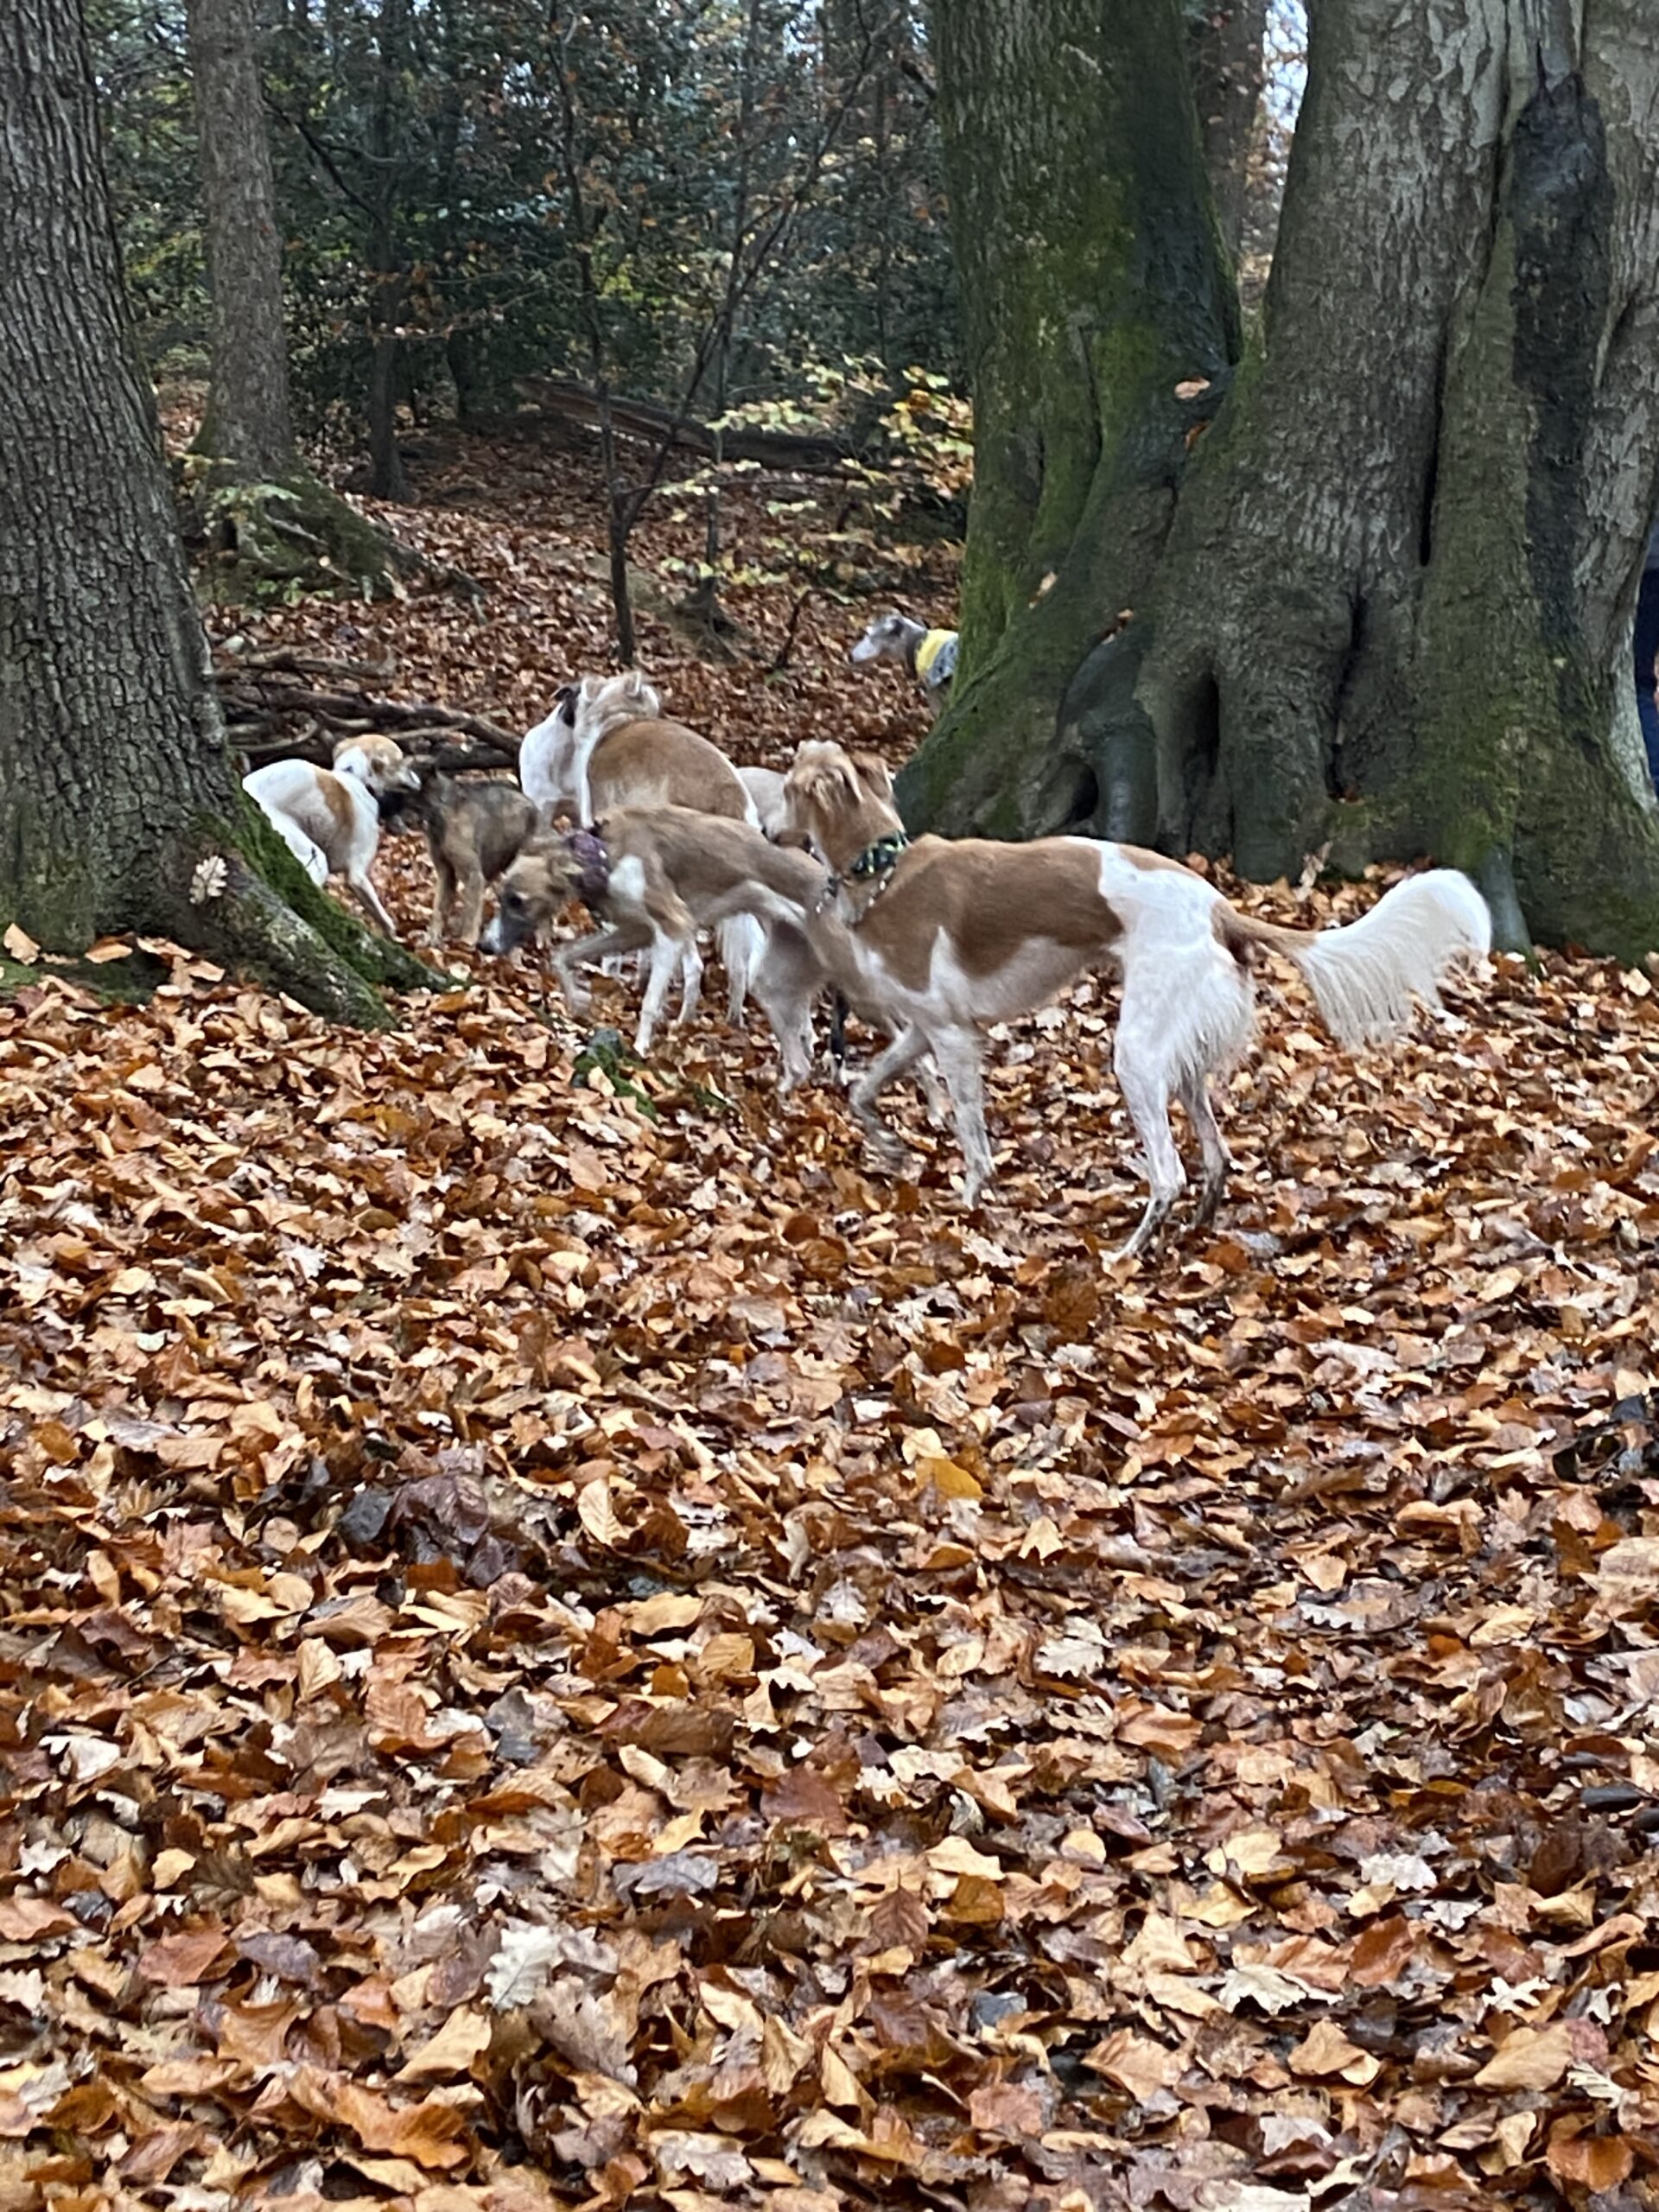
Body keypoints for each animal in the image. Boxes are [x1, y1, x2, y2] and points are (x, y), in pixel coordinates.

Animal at [243, 735, 419, 935]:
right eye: (403, 763)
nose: (419, 780)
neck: (356, 778)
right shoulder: (357, 875)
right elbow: (384, 919)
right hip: (312, 854)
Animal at [778, 741, 1491, 1256]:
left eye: (787, 786)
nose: (770, 827)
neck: (884, 868)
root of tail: (1220, 909)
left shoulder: (953, 1037)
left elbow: (972, 1141)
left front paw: (969, 1202)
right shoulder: (924, 1028)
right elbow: (863, 1090)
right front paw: (891, 1144)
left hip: (1138, 1057)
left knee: (1169, 1173)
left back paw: (1129, 1254)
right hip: (1182, 1059)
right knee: (1217, 1158)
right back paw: (1195, 1232)